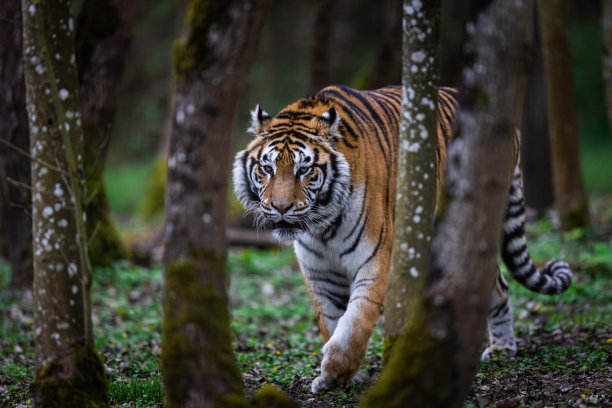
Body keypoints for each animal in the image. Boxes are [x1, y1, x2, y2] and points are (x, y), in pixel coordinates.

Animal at [233, 85, 572, 392]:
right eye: (267, 168)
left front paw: (335, 371)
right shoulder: (320, 273)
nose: (281, 207)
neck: (322, 226)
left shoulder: (376, 262)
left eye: (304, 170)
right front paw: (342, 377)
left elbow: (356, 322)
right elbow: (330, 322)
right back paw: (498, 347)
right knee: (497, 284)